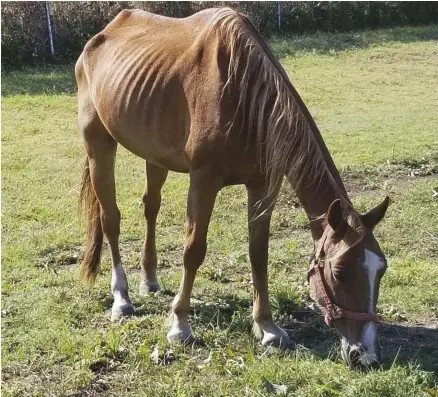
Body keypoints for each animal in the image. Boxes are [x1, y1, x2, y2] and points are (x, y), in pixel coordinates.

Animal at [76, 7, 390, 366]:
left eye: (381, 270)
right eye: (339, 272)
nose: (367, 355)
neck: (244, 93)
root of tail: (99, 37)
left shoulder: (262, 186)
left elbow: (258, 254)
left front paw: (268, 328)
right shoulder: (203, 180)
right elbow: (193, 251)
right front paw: (180, 325)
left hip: (153, 154)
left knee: (150, 207)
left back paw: (150, 280)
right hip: (98, 145)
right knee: (110, 219)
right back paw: (122, 298)